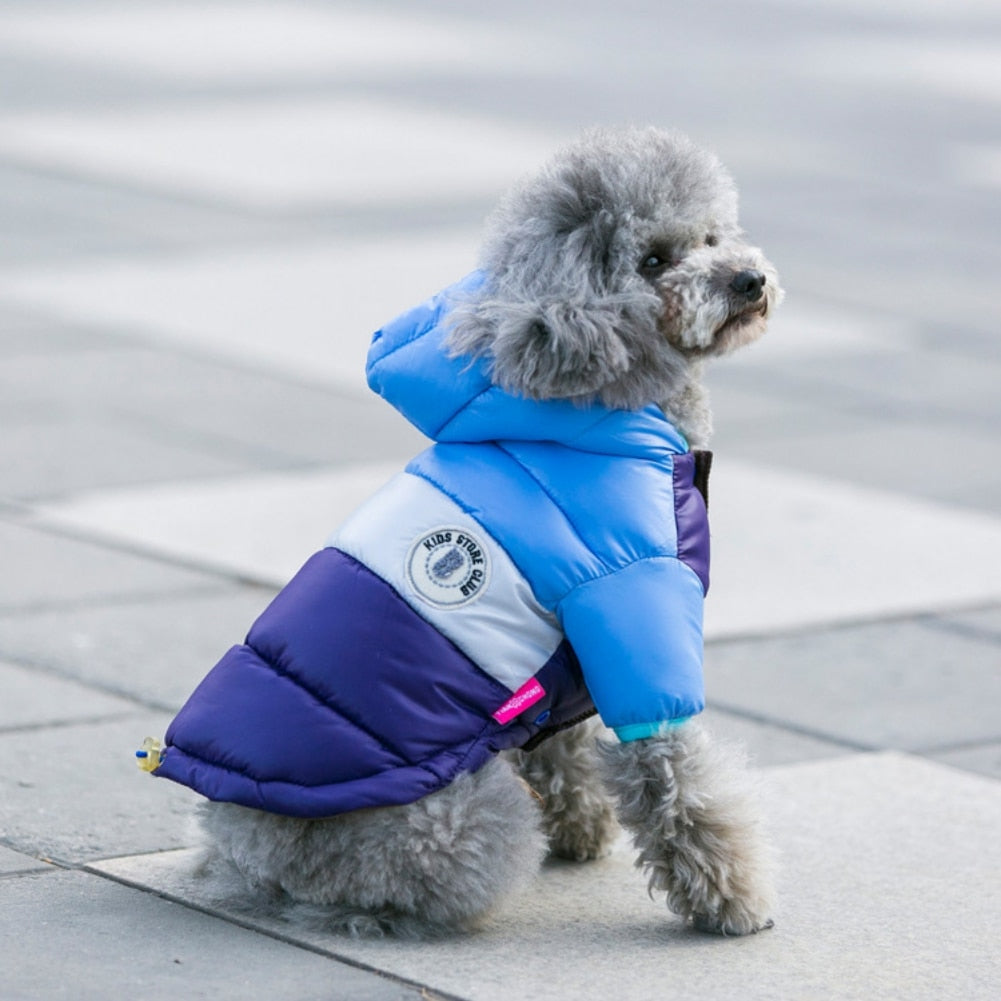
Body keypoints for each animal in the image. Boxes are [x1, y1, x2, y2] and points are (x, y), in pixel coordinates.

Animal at [146, 125, 780, 936]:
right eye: (654, 262)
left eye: (711, 236)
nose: (748, 280)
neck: (594, 414)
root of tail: (242, 848)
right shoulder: (626, 600)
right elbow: (675, 771)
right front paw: (734, 900)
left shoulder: (567, 660)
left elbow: (566, 749)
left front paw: (582, 830)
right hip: (461, 813)